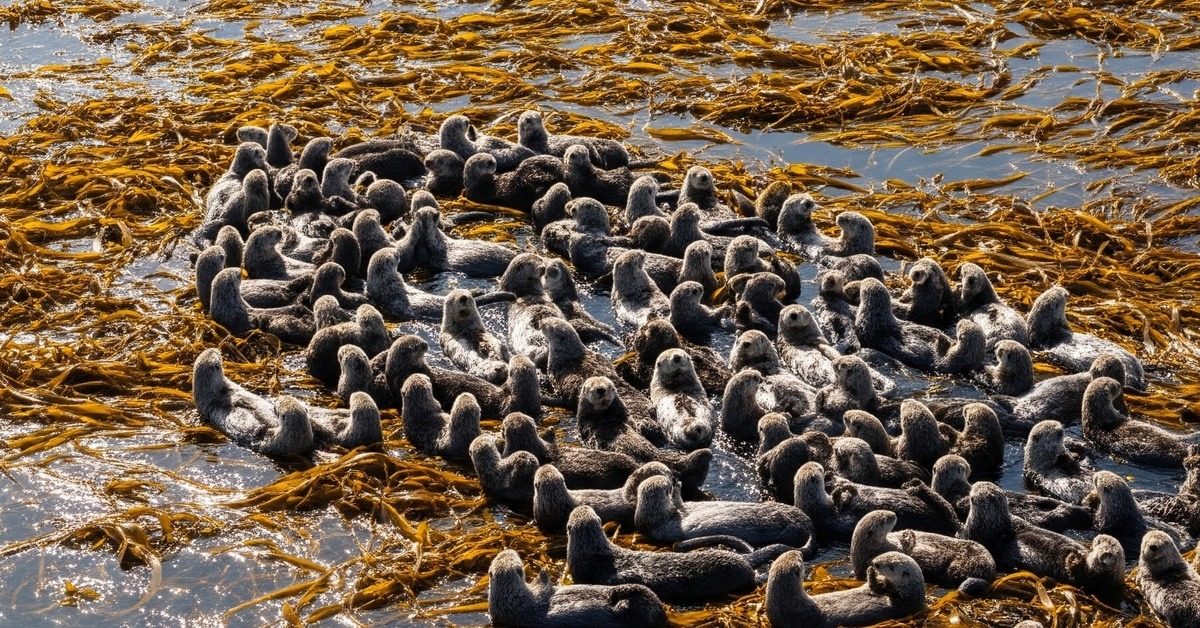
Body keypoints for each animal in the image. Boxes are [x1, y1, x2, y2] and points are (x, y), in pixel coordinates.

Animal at [487, 549, 667, 628]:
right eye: (513, 558)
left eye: (505, 555)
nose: (509, 549)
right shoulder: (531, 602)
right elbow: (543, 588)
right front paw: (544, 572)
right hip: (639, 611)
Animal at [851, 509, 994, 594]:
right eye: (883, 521)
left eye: (883, 510)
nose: (893, 514)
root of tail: (991, 569)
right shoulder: (887, 551)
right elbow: (905, 549)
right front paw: (908, 536)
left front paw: (907, 532)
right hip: (962, 566)